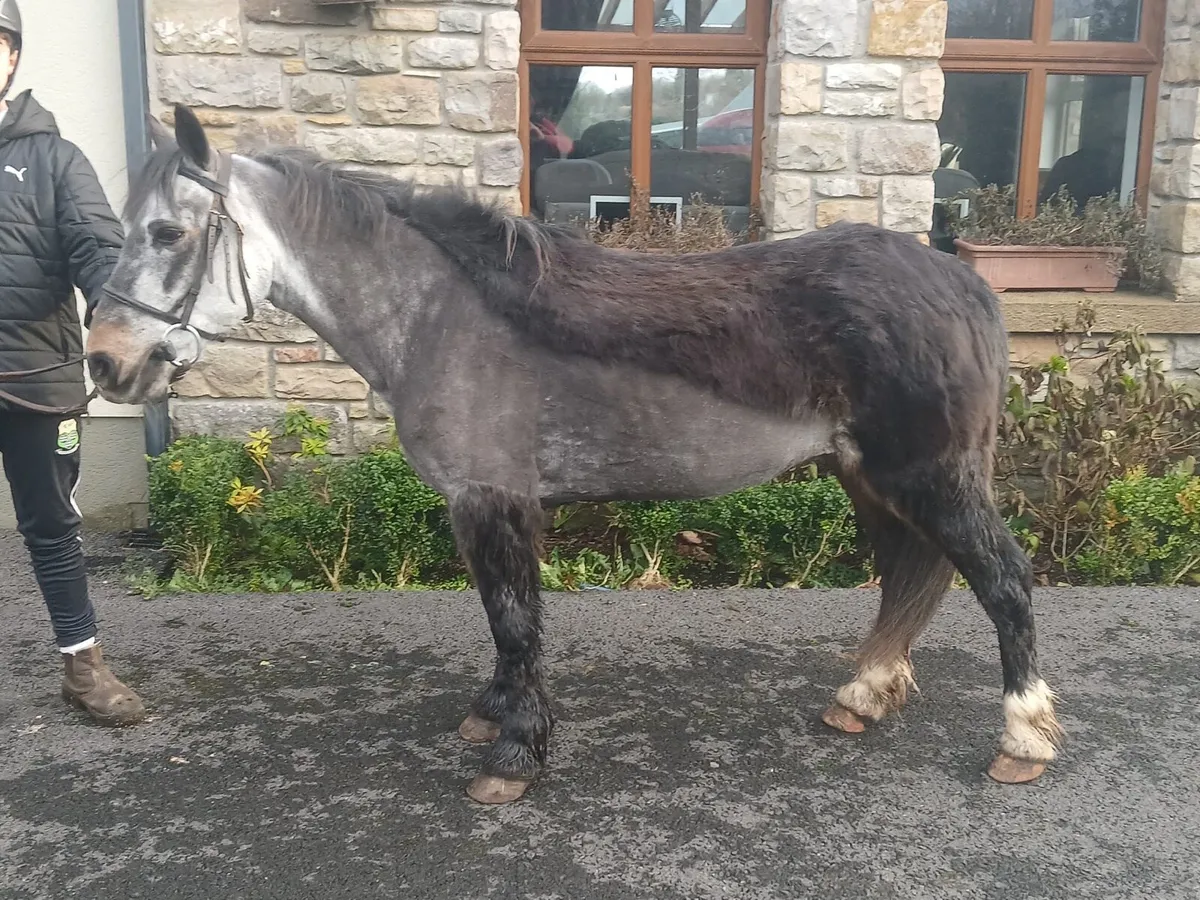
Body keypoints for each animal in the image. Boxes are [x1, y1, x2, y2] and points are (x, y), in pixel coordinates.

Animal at [84, 104, 1065, 804]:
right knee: (910, 571)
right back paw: (862, 695)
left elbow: (517, 624)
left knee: (1003, 580)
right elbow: (500, 623)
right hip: (869, 477)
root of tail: (963, 280)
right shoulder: (478, 505)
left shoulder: (494, 500)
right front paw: (493, 719)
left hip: (930, 477)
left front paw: (514, 757)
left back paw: (1021, 737)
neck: (445, 315)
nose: (107, 363)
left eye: (167, 233)